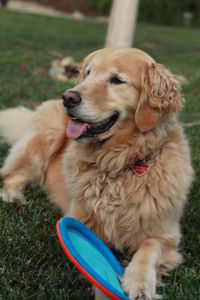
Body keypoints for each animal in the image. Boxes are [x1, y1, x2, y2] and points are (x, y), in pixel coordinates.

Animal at [0, 48, 194, 298]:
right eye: (88, 73)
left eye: (117, 80)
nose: (68, 98)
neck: (120, 163)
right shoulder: (85, 223)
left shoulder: (166, 235)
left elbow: (149, 248)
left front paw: (140, 282)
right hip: (44, 139)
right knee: (12, 174)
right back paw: (13, 196)